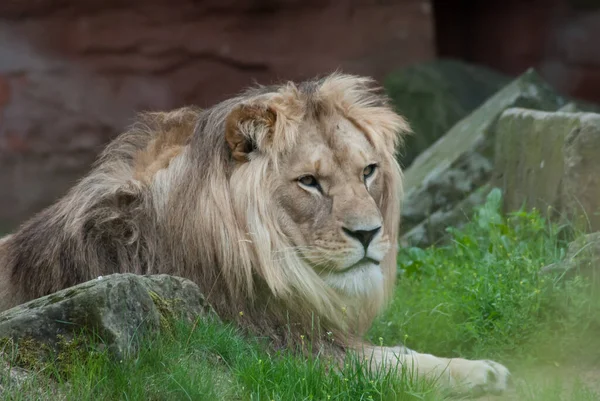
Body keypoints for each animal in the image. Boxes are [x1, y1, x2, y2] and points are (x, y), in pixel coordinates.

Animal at [0, 72, 508, 394]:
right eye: (309, 181)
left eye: (368, 171)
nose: (369, 234)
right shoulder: (268, 350)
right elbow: (392, 363)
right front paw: (484, 372)